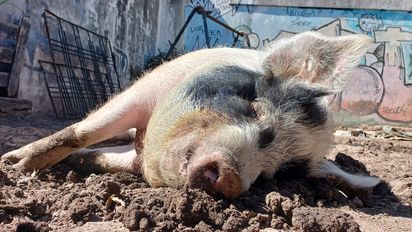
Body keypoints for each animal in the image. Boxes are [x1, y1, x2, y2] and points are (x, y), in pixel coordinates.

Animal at [1, 31, 380, 198]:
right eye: (254, 108)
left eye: (275, 173)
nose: (231, 178)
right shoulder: (146, 89)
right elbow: (81, 132)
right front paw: (15, 168)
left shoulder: (136, 159)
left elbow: (100, 159)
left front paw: (76, 164)